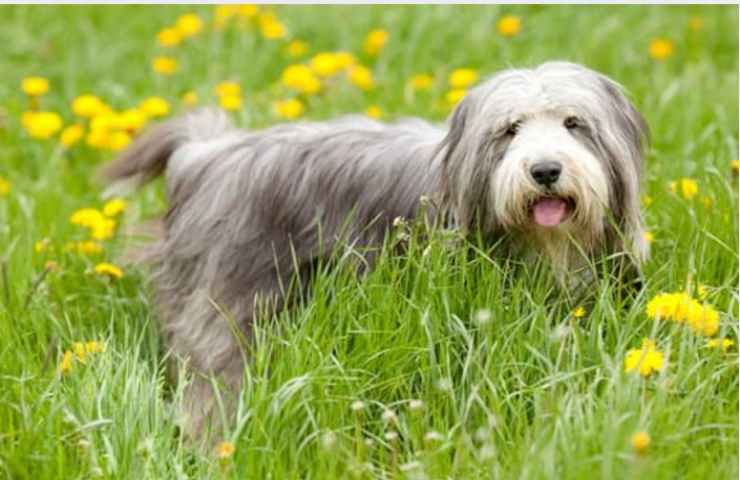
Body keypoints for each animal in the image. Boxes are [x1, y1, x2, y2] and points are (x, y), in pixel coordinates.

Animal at [102, 61, 648, 438]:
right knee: (212, 374)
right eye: (510, 129)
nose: (545, 170)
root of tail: (207, 155)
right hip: (231, 296)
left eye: (574, 123)